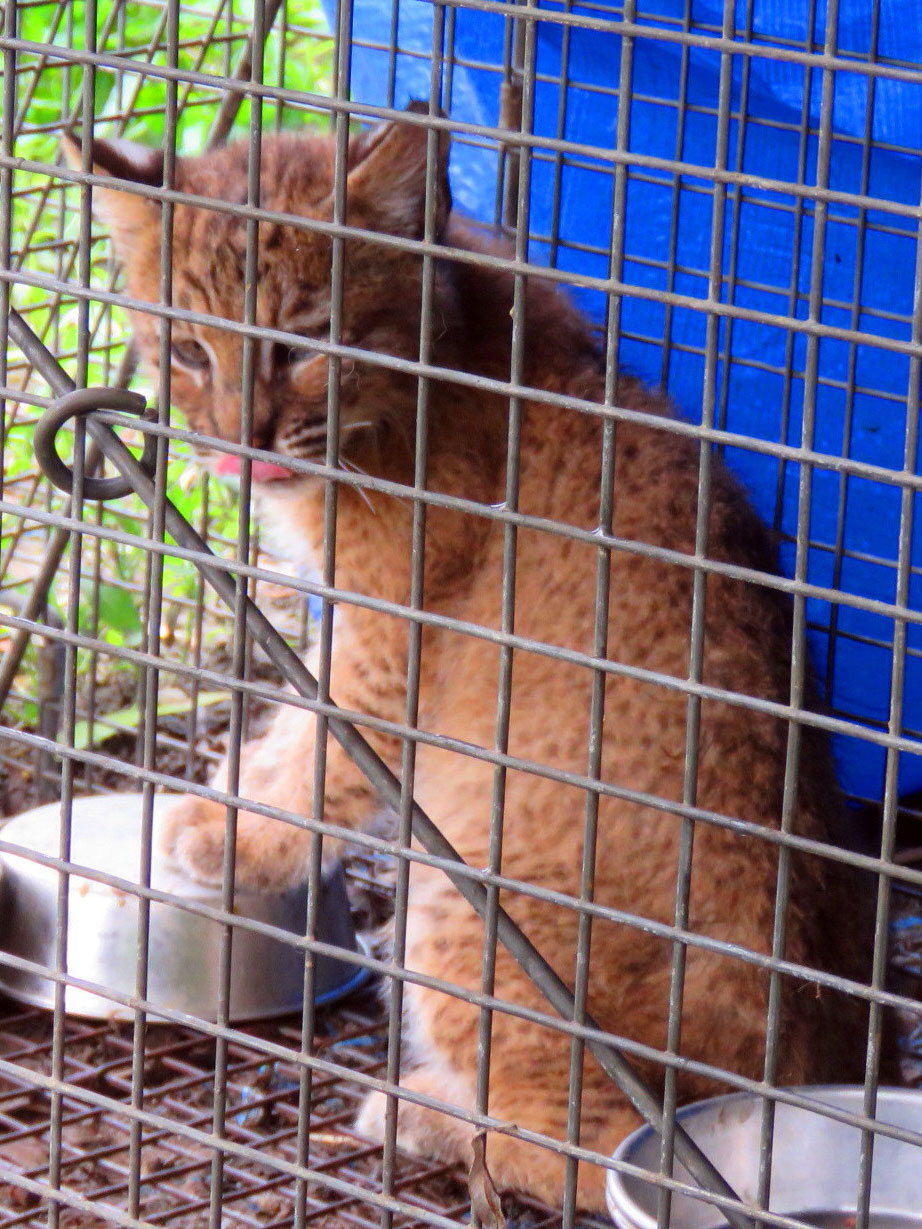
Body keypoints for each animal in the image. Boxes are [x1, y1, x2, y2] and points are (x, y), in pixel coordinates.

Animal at [65, 113, 875, 1209]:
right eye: (188, 348)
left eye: (302, 343)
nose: (241, 447)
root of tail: (808, 1067)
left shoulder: (385, 640)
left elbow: (318, 746)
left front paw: (220, 830)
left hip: (467, 903)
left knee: (620, 1156)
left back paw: (428, 1115)